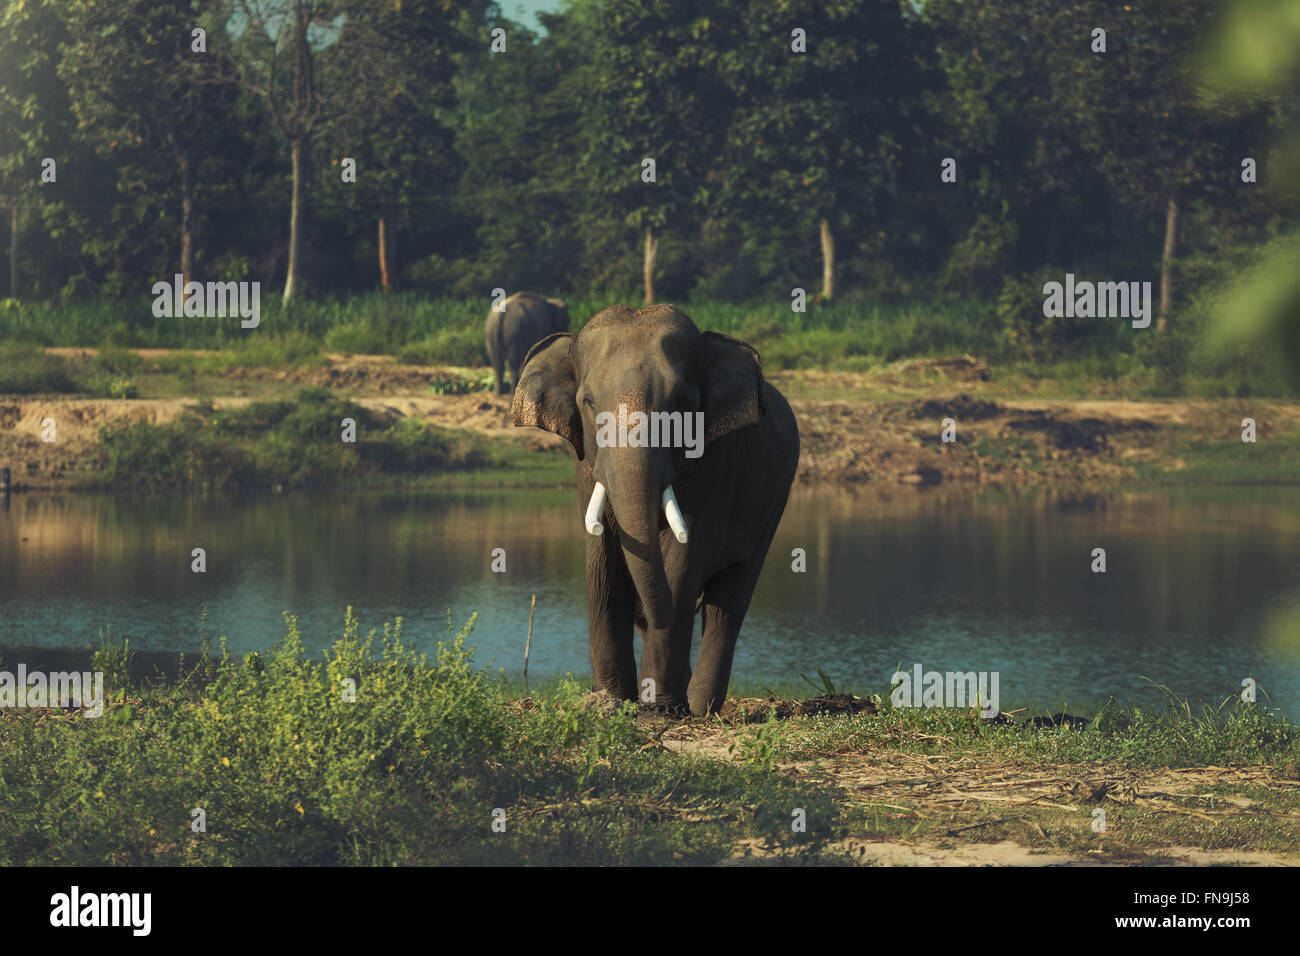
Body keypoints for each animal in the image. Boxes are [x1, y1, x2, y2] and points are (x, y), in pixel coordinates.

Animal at [511, 304, 799, 716]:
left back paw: (699, 708)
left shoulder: (717, 465)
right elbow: (602, 562)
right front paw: (612, 701)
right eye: (588, 403)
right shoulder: (585, 467)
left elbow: (683, 558)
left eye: (681, 404)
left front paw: (657, 709)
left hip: (775, 500)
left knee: (728, 604)